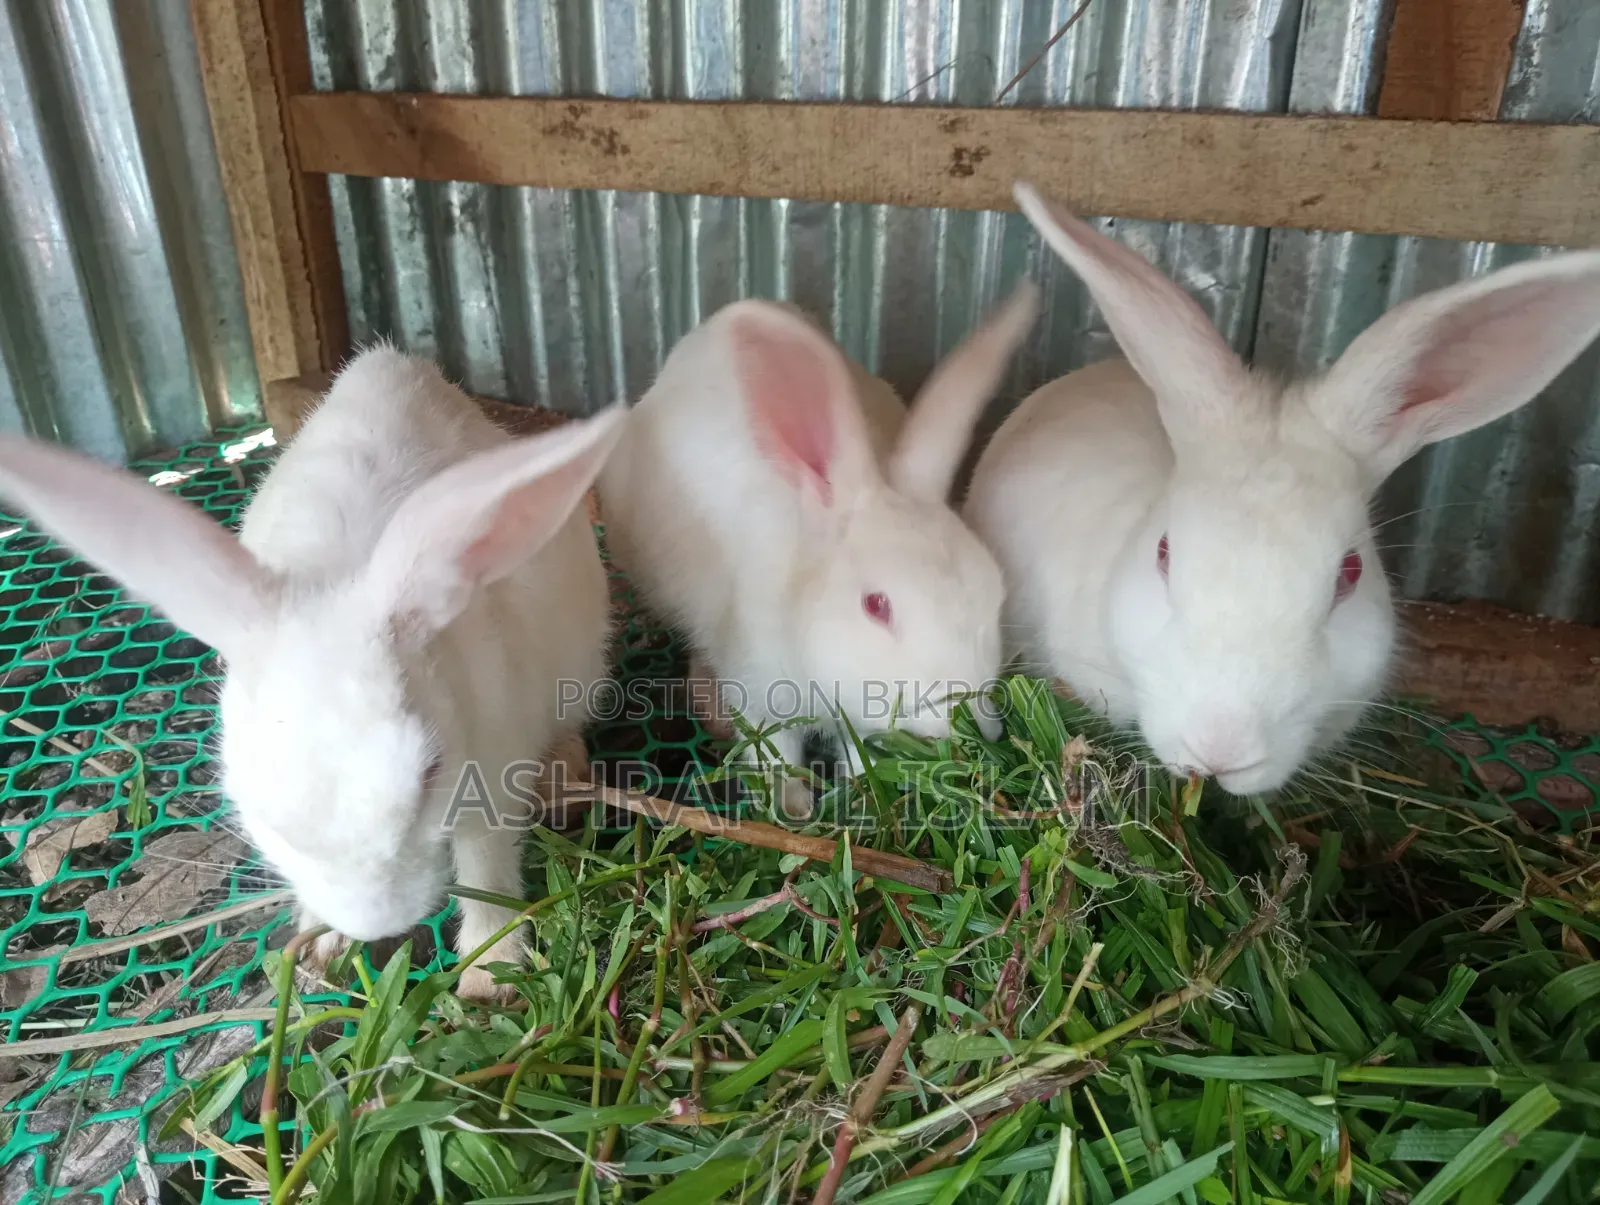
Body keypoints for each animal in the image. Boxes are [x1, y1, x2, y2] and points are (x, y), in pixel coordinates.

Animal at [0, 347, 625, 1001]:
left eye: (430, 772)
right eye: (258, 805)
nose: (377, 922)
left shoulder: (493, 775)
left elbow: (488, 873)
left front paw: (488, 973)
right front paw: (323, 948)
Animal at [598, 285, 1039, 816]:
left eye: (994, 595)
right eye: (876, 605)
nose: (966, 721)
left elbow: (860, 752)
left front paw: (865, 797)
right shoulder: (758, 690)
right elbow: (773, 751)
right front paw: (793, 807)